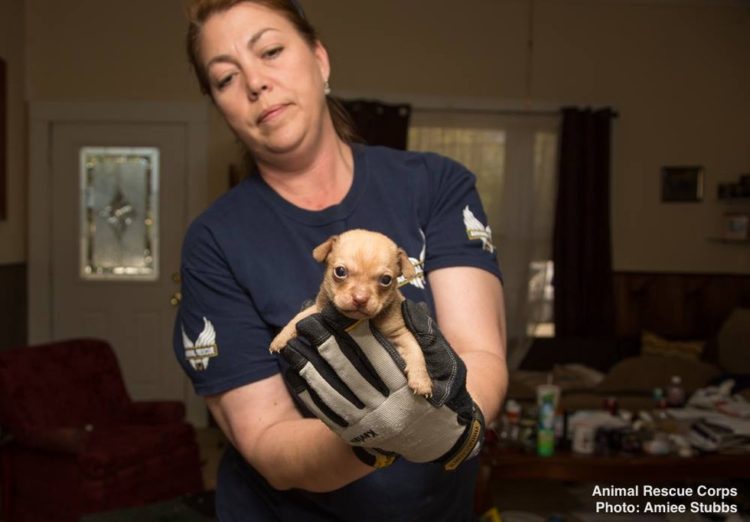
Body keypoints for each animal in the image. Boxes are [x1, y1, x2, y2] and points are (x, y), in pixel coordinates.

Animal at [272, 228, 434, 394]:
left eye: (386, 280)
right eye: (340, 271)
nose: (360, 299)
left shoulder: (399, 333)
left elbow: (415, 351)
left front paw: (422, 381)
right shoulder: (318, 309)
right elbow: (299, 317)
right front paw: (281, 337)